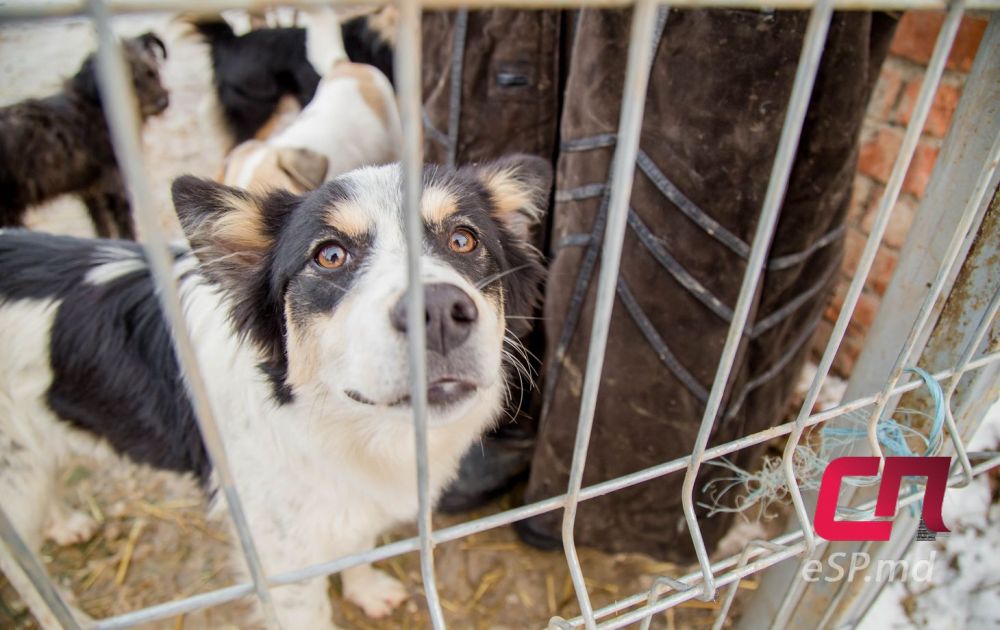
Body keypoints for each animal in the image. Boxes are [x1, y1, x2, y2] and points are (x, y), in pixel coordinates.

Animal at [0, 32, 169, 239]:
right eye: (130, 82)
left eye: (151, 72)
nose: (162, 102)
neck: (99, 106)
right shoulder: (113, 184)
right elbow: (125, 228)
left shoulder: (90, 191)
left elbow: (102, 227)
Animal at [0, 154, 548, 628]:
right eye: (330, 255)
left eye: (463, 239)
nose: (437, 312)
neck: (341, 430)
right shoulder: (282, 559)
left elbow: (358, 545)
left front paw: (366, 590)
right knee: (23, 571)